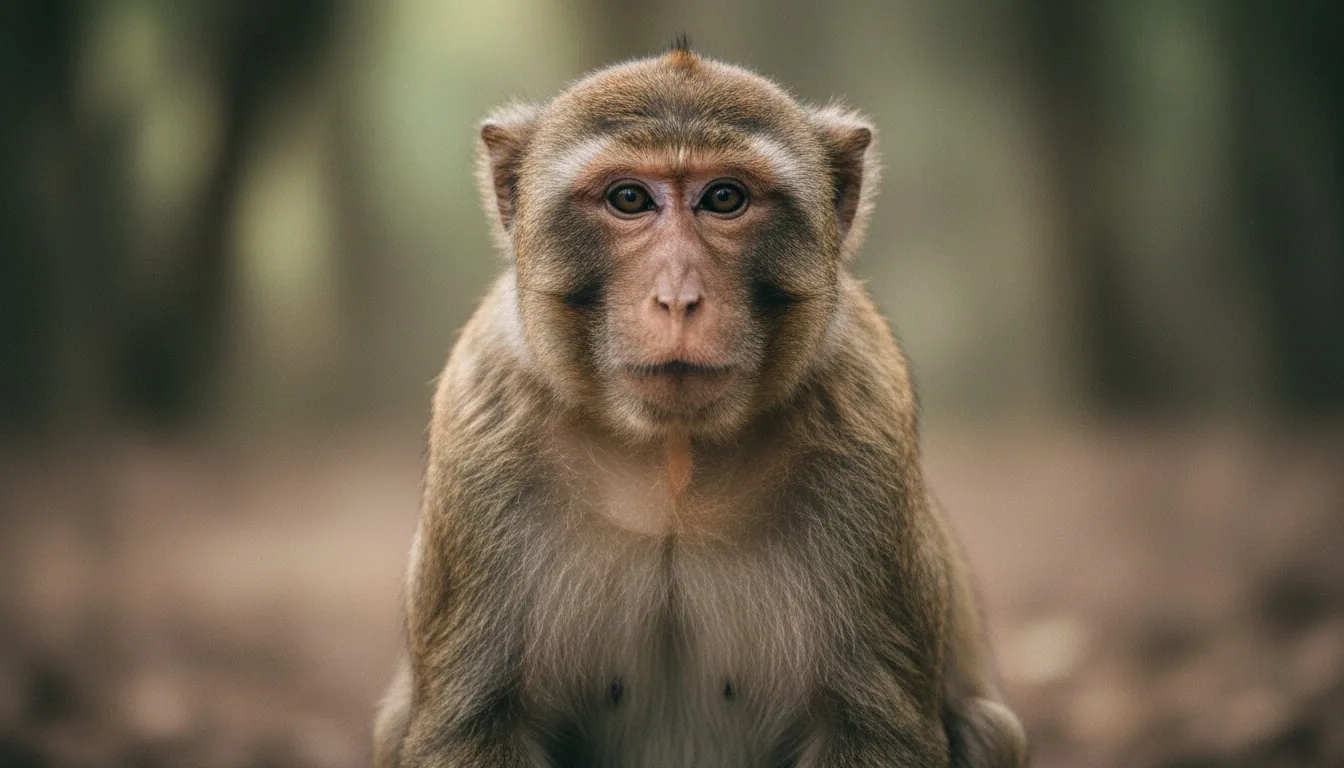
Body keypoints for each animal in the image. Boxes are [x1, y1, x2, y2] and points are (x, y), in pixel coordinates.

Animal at [374, 41, 1027, 768]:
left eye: (724, 198)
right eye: (630, 198)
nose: (678, 298)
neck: (673, 461)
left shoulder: (866, 424)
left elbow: (875, 730)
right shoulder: (482, 427)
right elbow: (473, 724)